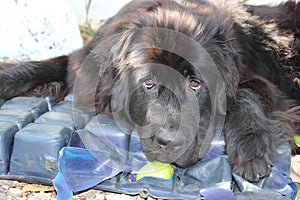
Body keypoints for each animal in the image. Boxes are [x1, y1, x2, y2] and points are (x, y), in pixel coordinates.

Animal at [0, 0, 300, 182]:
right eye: (149, 84)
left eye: (195, 84)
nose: (170, 141)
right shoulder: (82, 63)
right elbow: (43, 65)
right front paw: (6, 77)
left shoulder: (254, 79)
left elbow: (246, 96)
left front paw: (252, 145)